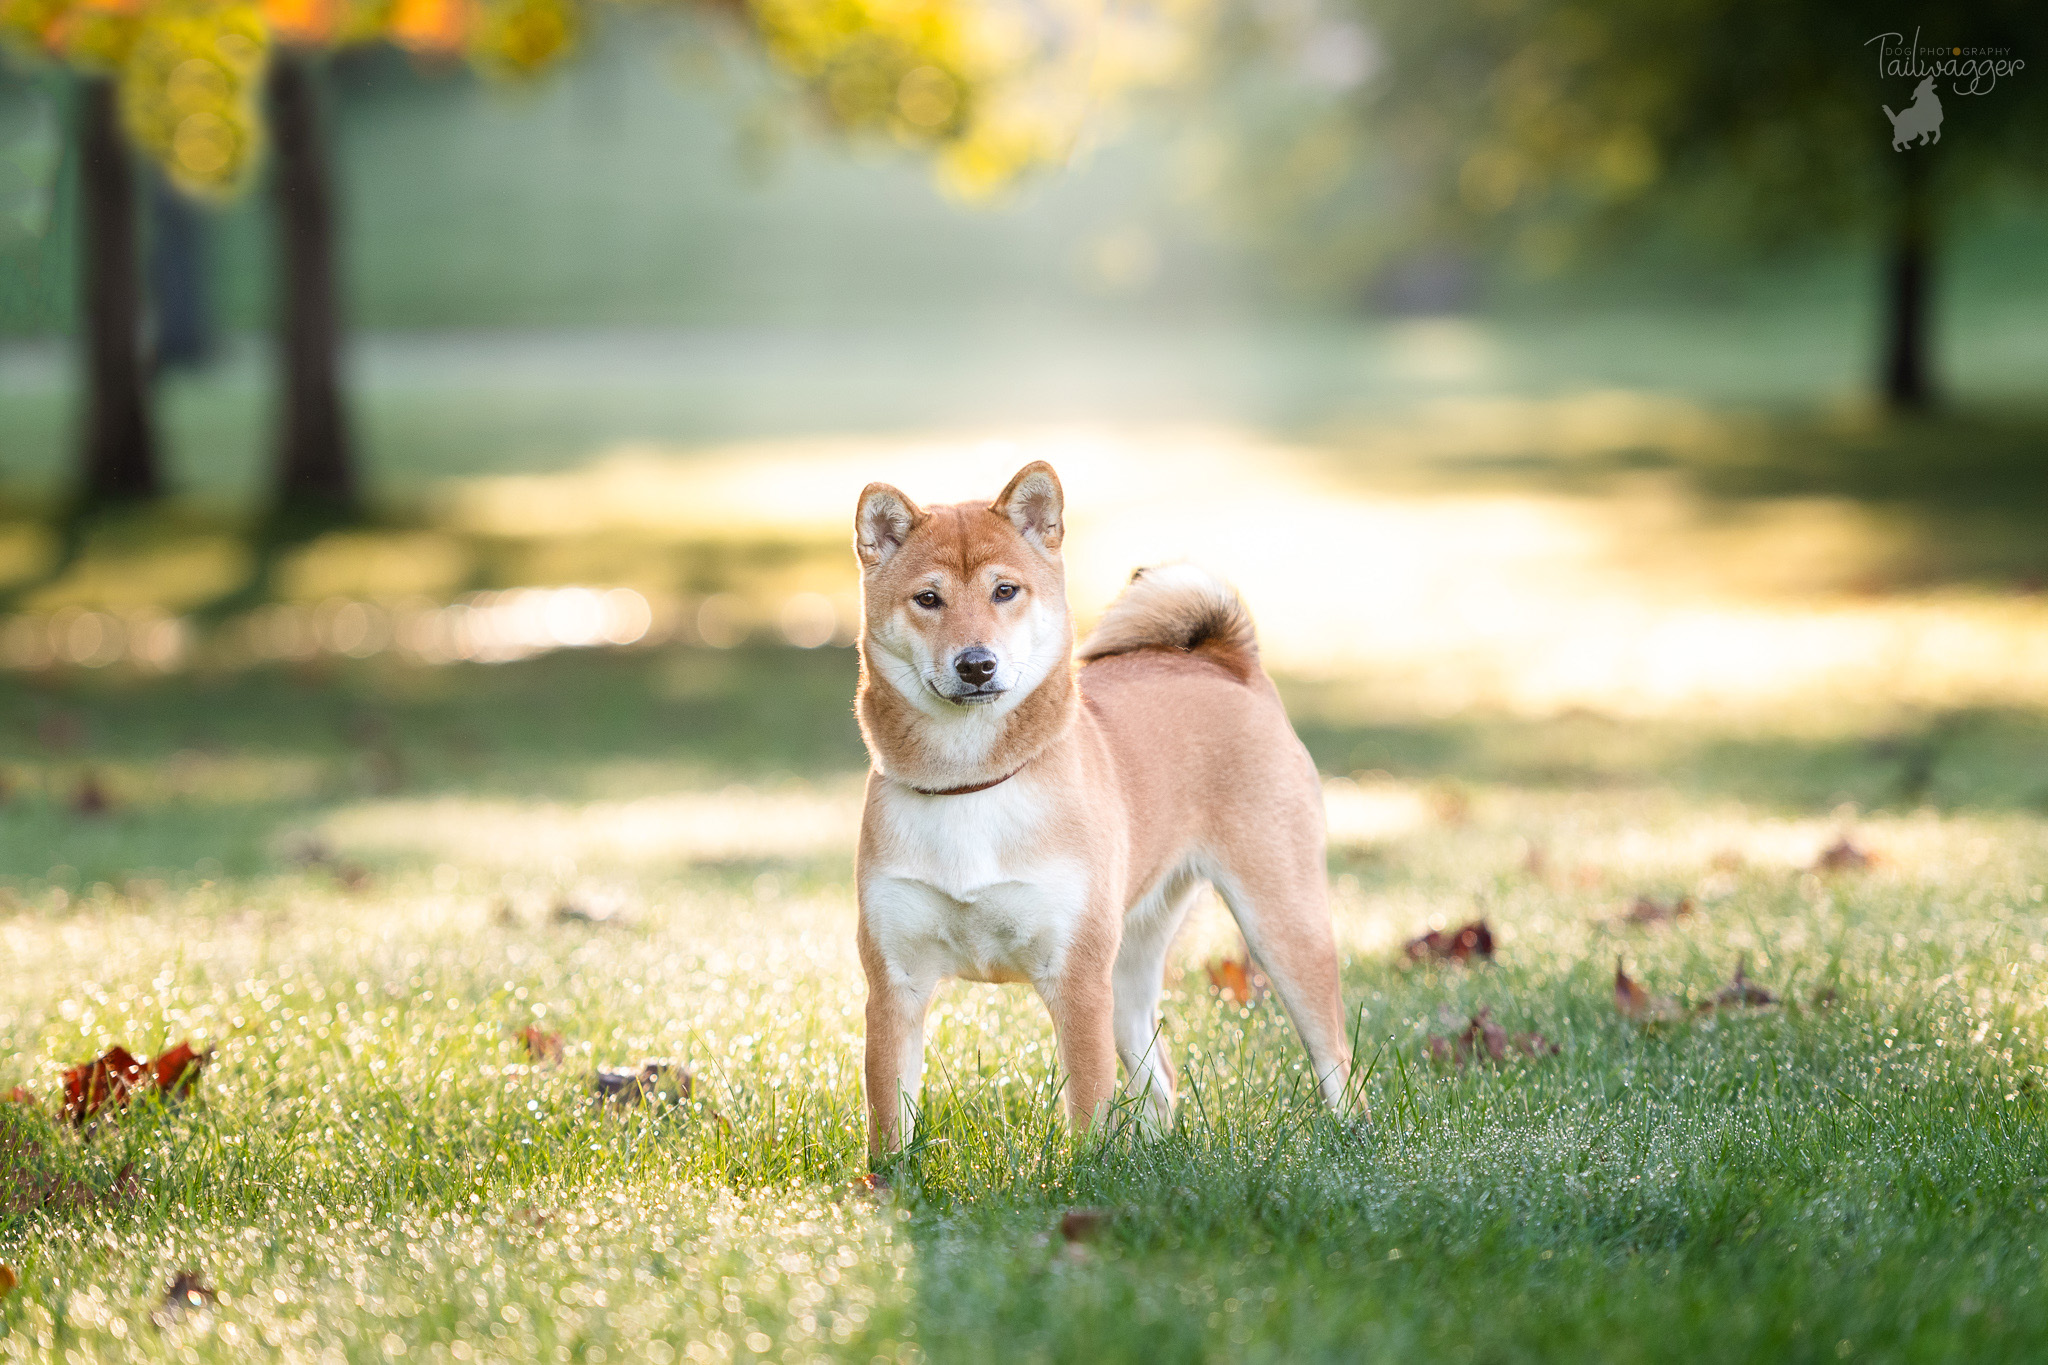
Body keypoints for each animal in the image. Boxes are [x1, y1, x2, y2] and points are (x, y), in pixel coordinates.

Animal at [856, 464, 1351, 1162]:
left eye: (1005, 591)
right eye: (928, 599)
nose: (976, 664)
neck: (971, 784)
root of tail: (1226, 664)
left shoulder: (1077, 980)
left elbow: (1088, 1105)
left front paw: (1084, 1174)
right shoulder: (894, 985)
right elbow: (889, 1114)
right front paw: (887, 1181)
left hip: (1281, 926)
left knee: (1335, 1057)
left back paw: (1354, 1135)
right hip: (1130, 966)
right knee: (1160, 1078)